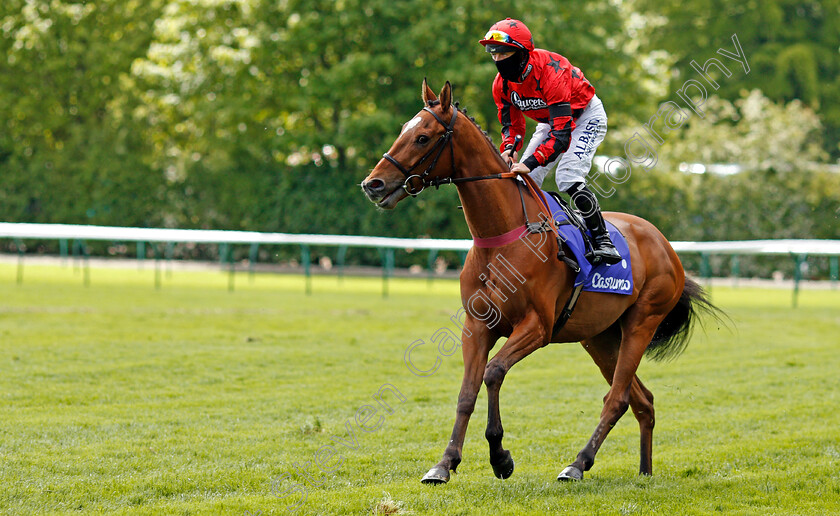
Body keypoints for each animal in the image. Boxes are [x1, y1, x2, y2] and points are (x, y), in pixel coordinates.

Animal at [358, 79, 720, 484]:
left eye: (422, 137)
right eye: (403, 131)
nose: (372, 184)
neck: (502, 237)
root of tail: (664, 245)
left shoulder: (537, 326)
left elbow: (493, 372)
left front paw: (500, 457)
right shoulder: (477, 326)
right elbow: (467, 391)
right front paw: (444, 463)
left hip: (642, 323)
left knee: (618, 398)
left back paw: (578, 463)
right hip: (600, 337)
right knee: (642, 400)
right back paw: (644, 472)